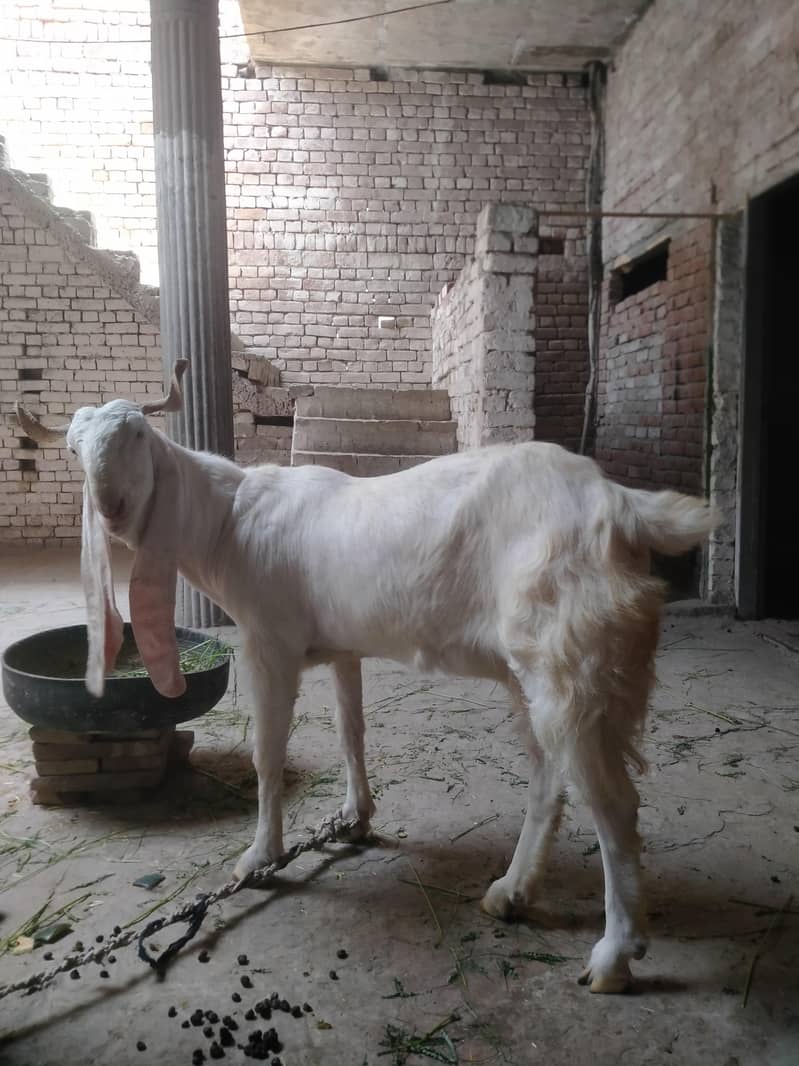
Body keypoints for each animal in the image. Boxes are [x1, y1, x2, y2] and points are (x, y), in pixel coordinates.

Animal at [18, 361, 717, 993]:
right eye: (75, 449)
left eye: (137, 434)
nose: (110, 508)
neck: (226, 521)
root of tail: (622, 507)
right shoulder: (341, 648)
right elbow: (351, 731)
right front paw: (355, 816)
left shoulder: (269, 643)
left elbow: (267, 753)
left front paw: (260, 857)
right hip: (536, 670)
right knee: (550, 776)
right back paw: (510, 893)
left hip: (570, 658)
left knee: (613, 803)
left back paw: (613, 957)